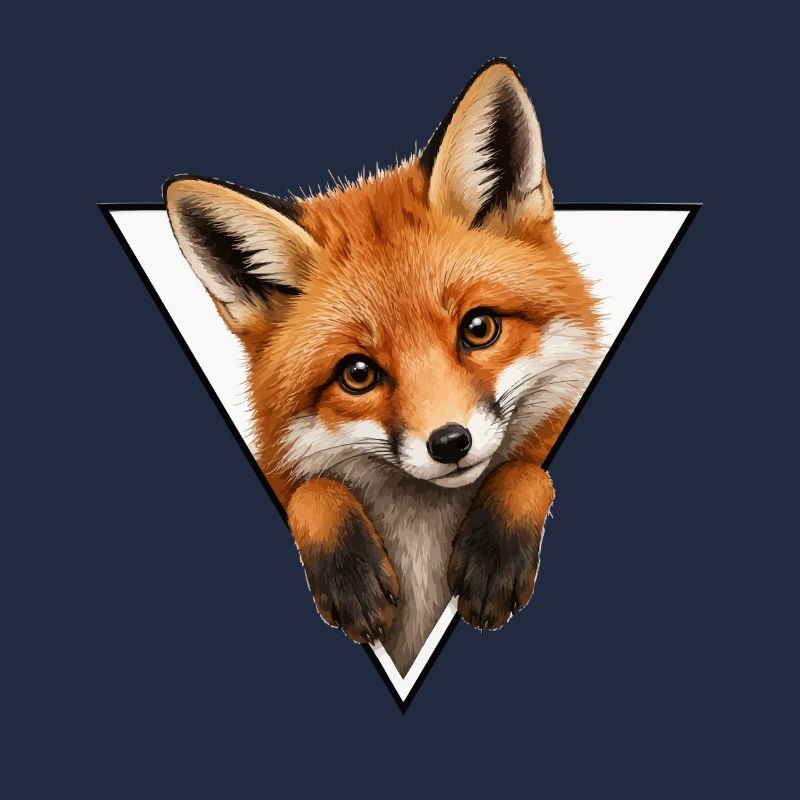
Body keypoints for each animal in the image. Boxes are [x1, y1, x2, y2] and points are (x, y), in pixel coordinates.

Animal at [164, 59, 602, 675]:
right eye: (358, 373)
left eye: (479, 329)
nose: (450, 443)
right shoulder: (282, 471)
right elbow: (310, 491)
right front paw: (349, 570)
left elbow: (527, 469)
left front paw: (494, 549)